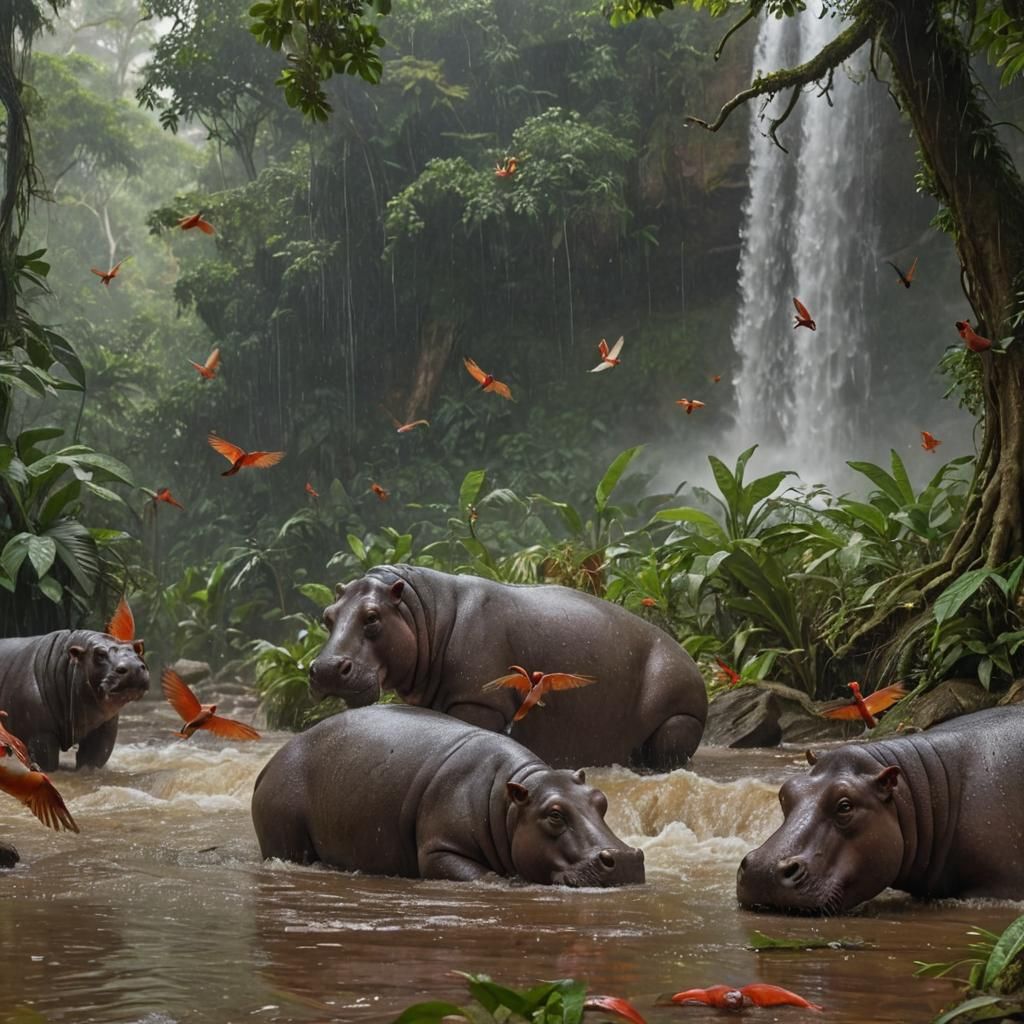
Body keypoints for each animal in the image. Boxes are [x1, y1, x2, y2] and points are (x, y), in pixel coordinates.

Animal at [0, 630, 149, 771]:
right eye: (99, 654)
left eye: (137, 650)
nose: (134, 667)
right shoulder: (39, 733)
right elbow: (46, 762)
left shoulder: (103, 729)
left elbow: (93, 759)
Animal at [251, 704, 646, 886]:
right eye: (554, 814)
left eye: (601, 800)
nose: (625, 858)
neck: (512, 802)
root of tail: (270, 763)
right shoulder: (440, 849)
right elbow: (484, 877)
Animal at [308, 565, 707, 770]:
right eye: (327, 616)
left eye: (372, 617)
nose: (326, 668)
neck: (420, 613)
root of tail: (688, 656)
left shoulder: (478, 704)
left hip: (680, 719)